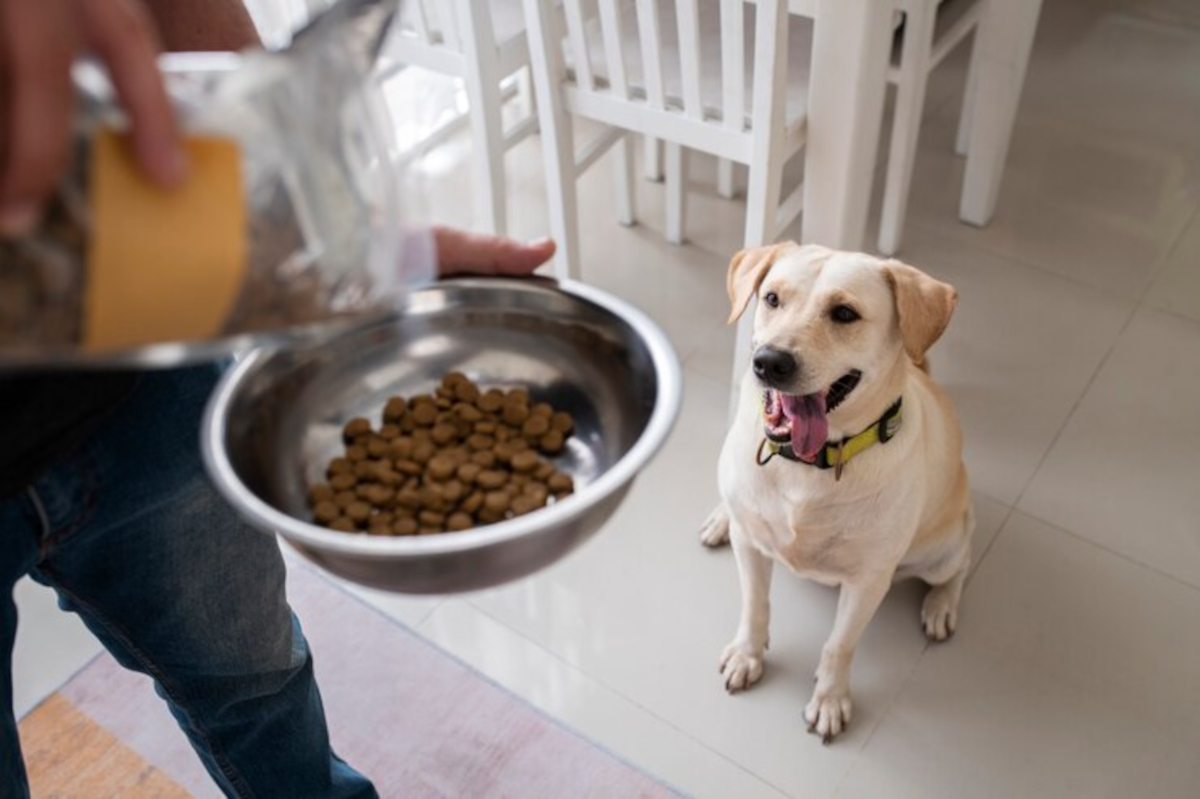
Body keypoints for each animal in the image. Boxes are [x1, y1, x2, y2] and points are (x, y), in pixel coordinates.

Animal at [700, 241, 969, 739]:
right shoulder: (751, 547)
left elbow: (839, 645)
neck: (808, 465)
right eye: (771, 298)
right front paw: (748, 654)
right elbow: (755, 605)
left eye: (845, 313)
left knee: (959, 565)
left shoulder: (868, 581)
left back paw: (941, 605)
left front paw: (829, 699)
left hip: (939, 551)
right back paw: (721, 517)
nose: (769, 362)